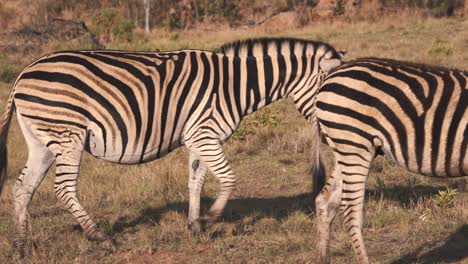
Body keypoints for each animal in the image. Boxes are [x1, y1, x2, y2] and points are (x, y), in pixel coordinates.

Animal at [0, 38, 344, 255]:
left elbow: (196, 181)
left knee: (22, 188)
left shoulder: (199, 138)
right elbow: (229, 179)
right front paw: (210, 218)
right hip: (67, 134)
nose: (333, 134)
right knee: (63, 187)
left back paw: (20, 246)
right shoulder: (205, 135)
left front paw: (194, 225)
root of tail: (22, 74)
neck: (234, 85)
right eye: (327, 91)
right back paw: (100, 237)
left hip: (43, 141)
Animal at [310, 56, 468, 262]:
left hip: (345, 148)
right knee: (351, 211)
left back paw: (323, 258)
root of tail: (332, 73)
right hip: (354, 145)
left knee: (326, 201)